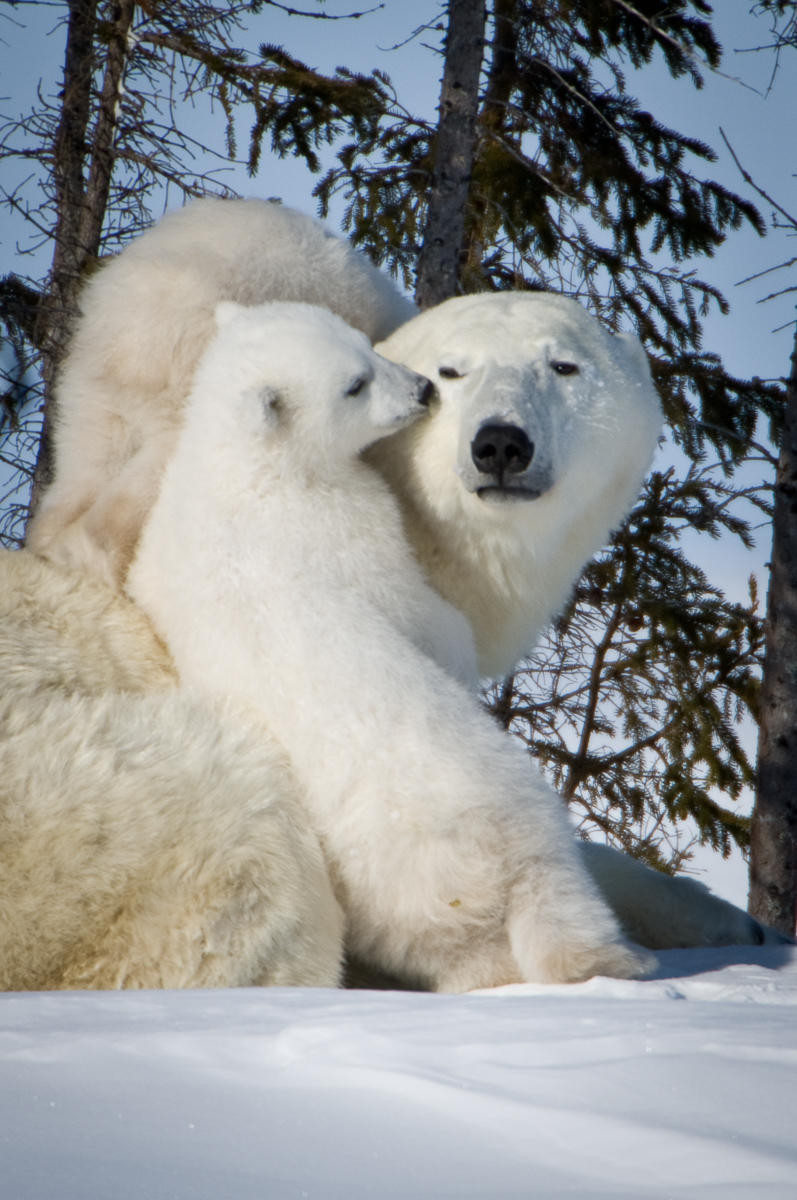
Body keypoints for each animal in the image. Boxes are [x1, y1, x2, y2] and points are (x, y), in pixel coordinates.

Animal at [127, 299, 654, 991]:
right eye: (356, 383)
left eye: (364, 344)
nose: (423, 389)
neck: (241, 467)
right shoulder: (347, 522)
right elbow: (419, 611)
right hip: (496, 806)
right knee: (552, 872)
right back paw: (621, 957)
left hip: (398, 910)